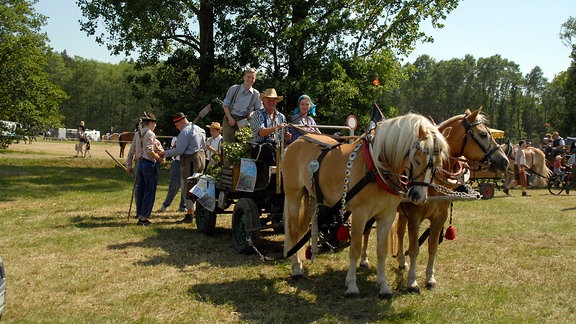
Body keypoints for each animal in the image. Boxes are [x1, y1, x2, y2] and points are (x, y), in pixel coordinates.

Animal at [284, 112, 450, 298]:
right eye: (417, 159)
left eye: (438, 163)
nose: (419, 197)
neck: (375, 170)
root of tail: (296, 142)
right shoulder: (359, 214)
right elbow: (355, 249)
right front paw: (351, 285)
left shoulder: (387, 215)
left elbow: (382, 250)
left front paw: (383, 286)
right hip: (294, 195)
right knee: (293, 230)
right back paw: (296, 268)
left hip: (311, 197)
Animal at [376, 107, 510, 292]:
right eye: (483, 134)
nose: (505, 161)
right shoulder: (415, 217)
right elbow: (415, 248)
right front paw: (412, 281)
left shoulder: (440, 217)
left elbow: (432, 247)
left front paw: (430, 278)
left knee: (400, 232)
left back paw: (402, 262)